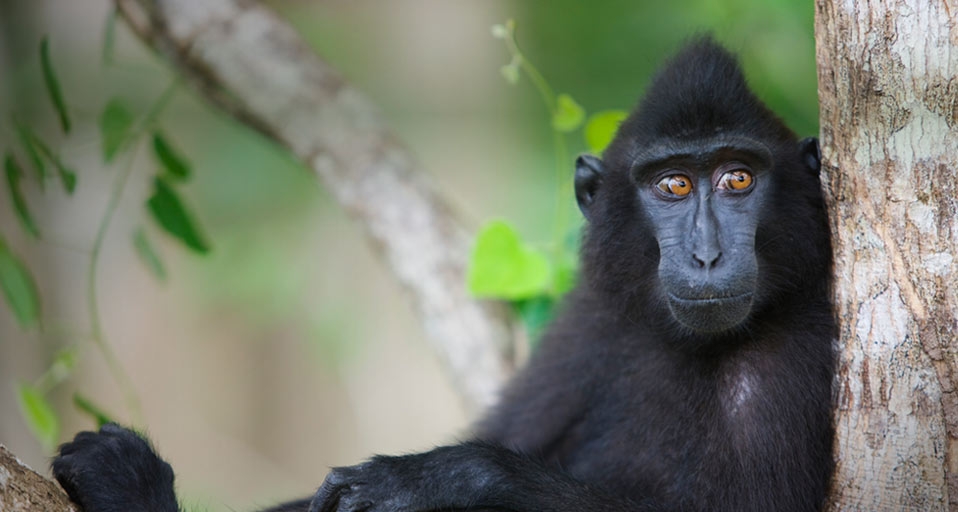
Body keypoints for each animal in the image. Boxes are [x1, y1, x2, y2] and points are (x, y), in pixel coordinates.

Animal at [52, 36, 835, 512]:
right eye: (672, 185)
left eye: (738, 178)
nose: (706, 255)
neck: (685, 345)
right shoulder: (590, 321)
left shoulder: (797, 350)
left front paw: (444, 478)